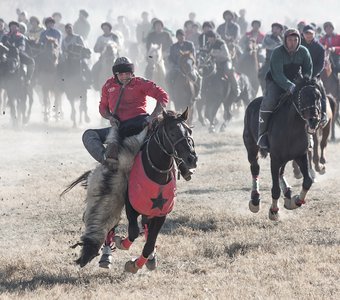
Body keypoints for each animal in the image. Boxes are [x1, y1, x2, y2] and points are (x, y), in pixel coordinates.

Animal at [62, 108, 198, 272]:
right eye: (172, 133)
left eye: (190, 130)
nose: (192, 159)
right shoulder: (129, 206)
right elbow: (133, 231)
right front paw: (120, 245)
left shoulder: (161, 213)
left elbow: (149, 241)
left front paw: (137, 263)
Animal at [243, 77, 322, 220]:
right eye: (303, 97)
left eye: (318, 96)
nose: (314, 120)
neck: (292, 128)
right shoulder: (275, 159)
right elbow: (275, 189)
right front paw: (274, 211)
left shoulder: (301, 156)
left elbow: (308, 181)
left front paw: (297, 201)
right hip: (251, 146)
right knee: (255, 167)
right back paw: (255, 199)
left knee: (281, 171)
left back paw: (288, 191)